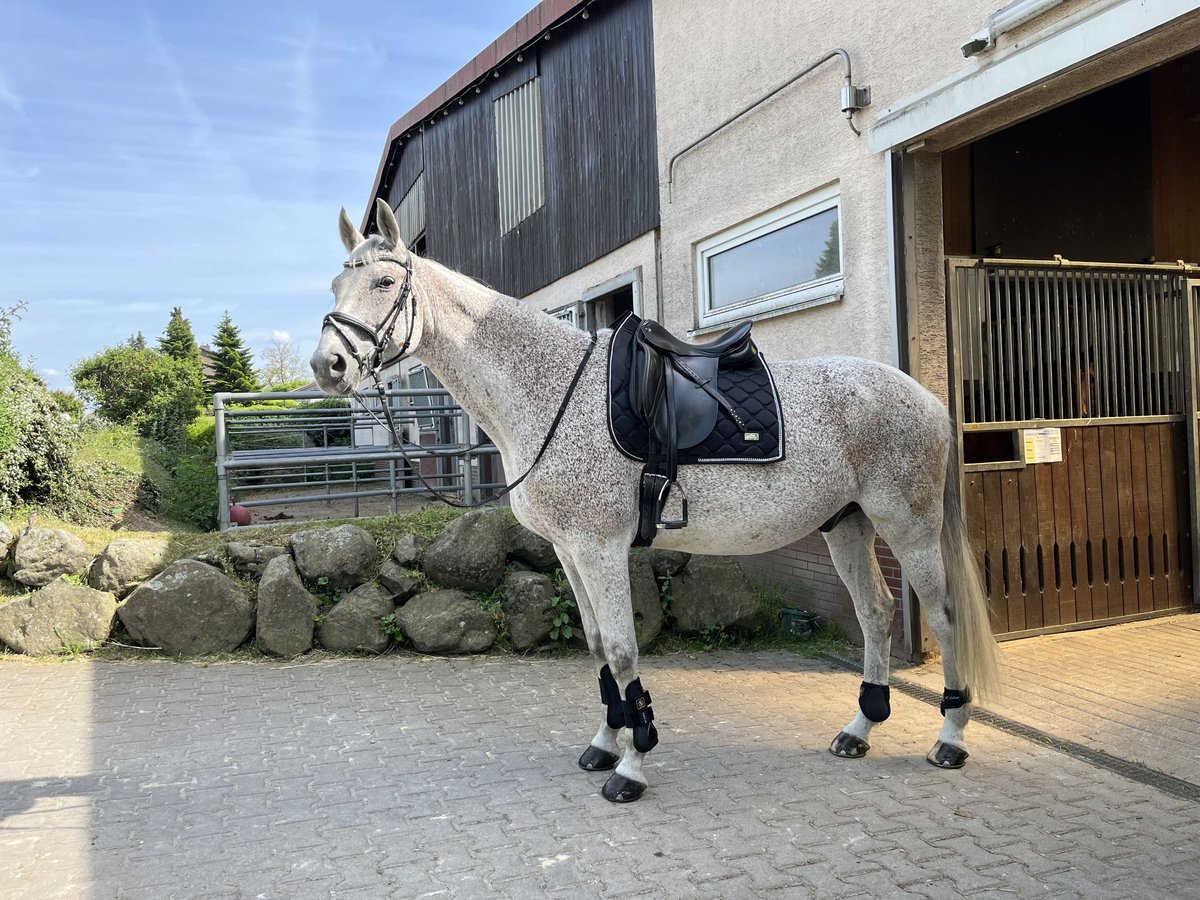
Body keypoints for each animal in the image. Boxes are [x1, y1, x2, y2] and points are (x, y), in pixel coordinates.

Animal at [304, 199, 998, 801]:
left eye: (385, 282)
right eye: (334, 286)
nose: (327, 365)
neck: (550, 389)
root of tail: (924, 396)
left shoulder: (600, 548)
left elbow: (621, 648)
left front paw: (632, 766)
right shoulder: (569, 551)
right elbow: (595, 646)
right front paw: (605, 742)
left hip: (907, 526)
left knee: (942, 617)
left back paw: (950, 738)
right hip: (846, 525)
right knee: (877, 613)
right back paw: (860, 728)